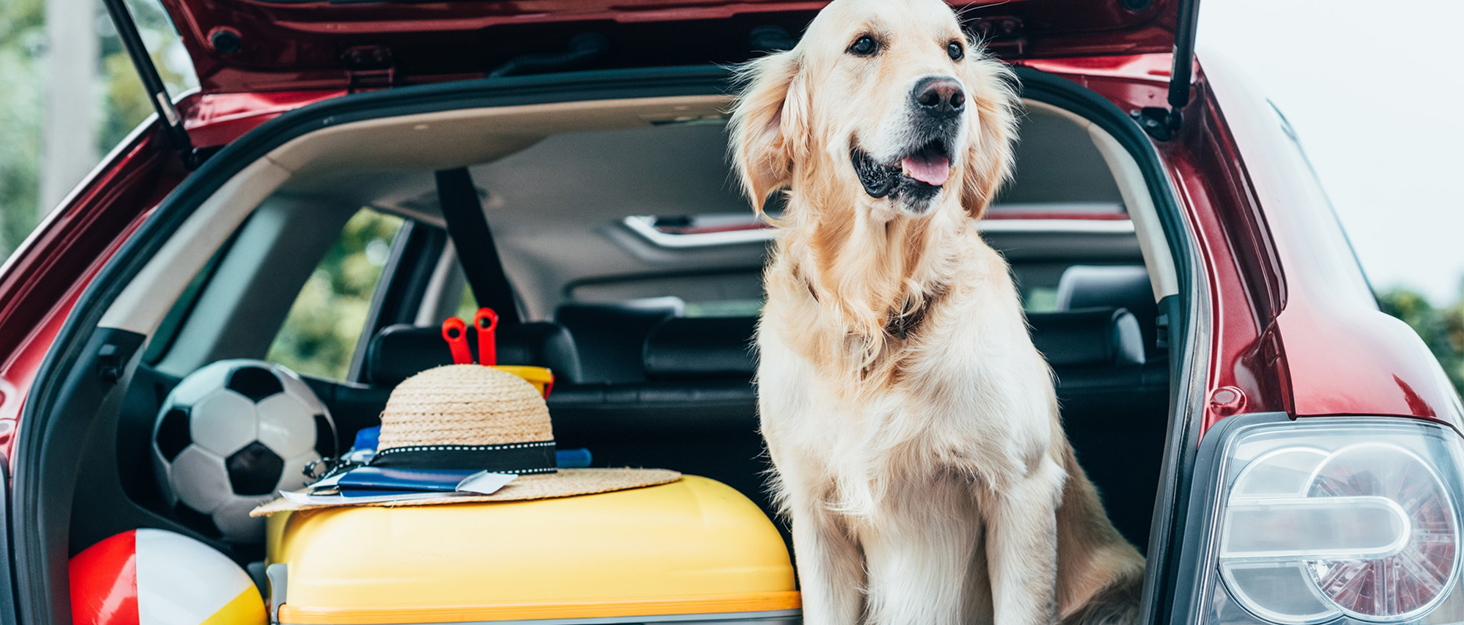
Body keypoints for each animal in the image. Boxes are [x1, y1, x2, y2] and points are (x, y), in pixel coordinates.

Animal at [729, 0, 1141, 620]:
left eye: (955, 50)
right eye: (864, 44)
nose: (946, 96)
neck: (878, 311)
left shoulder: (1019, 491)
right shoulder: (817, 513)